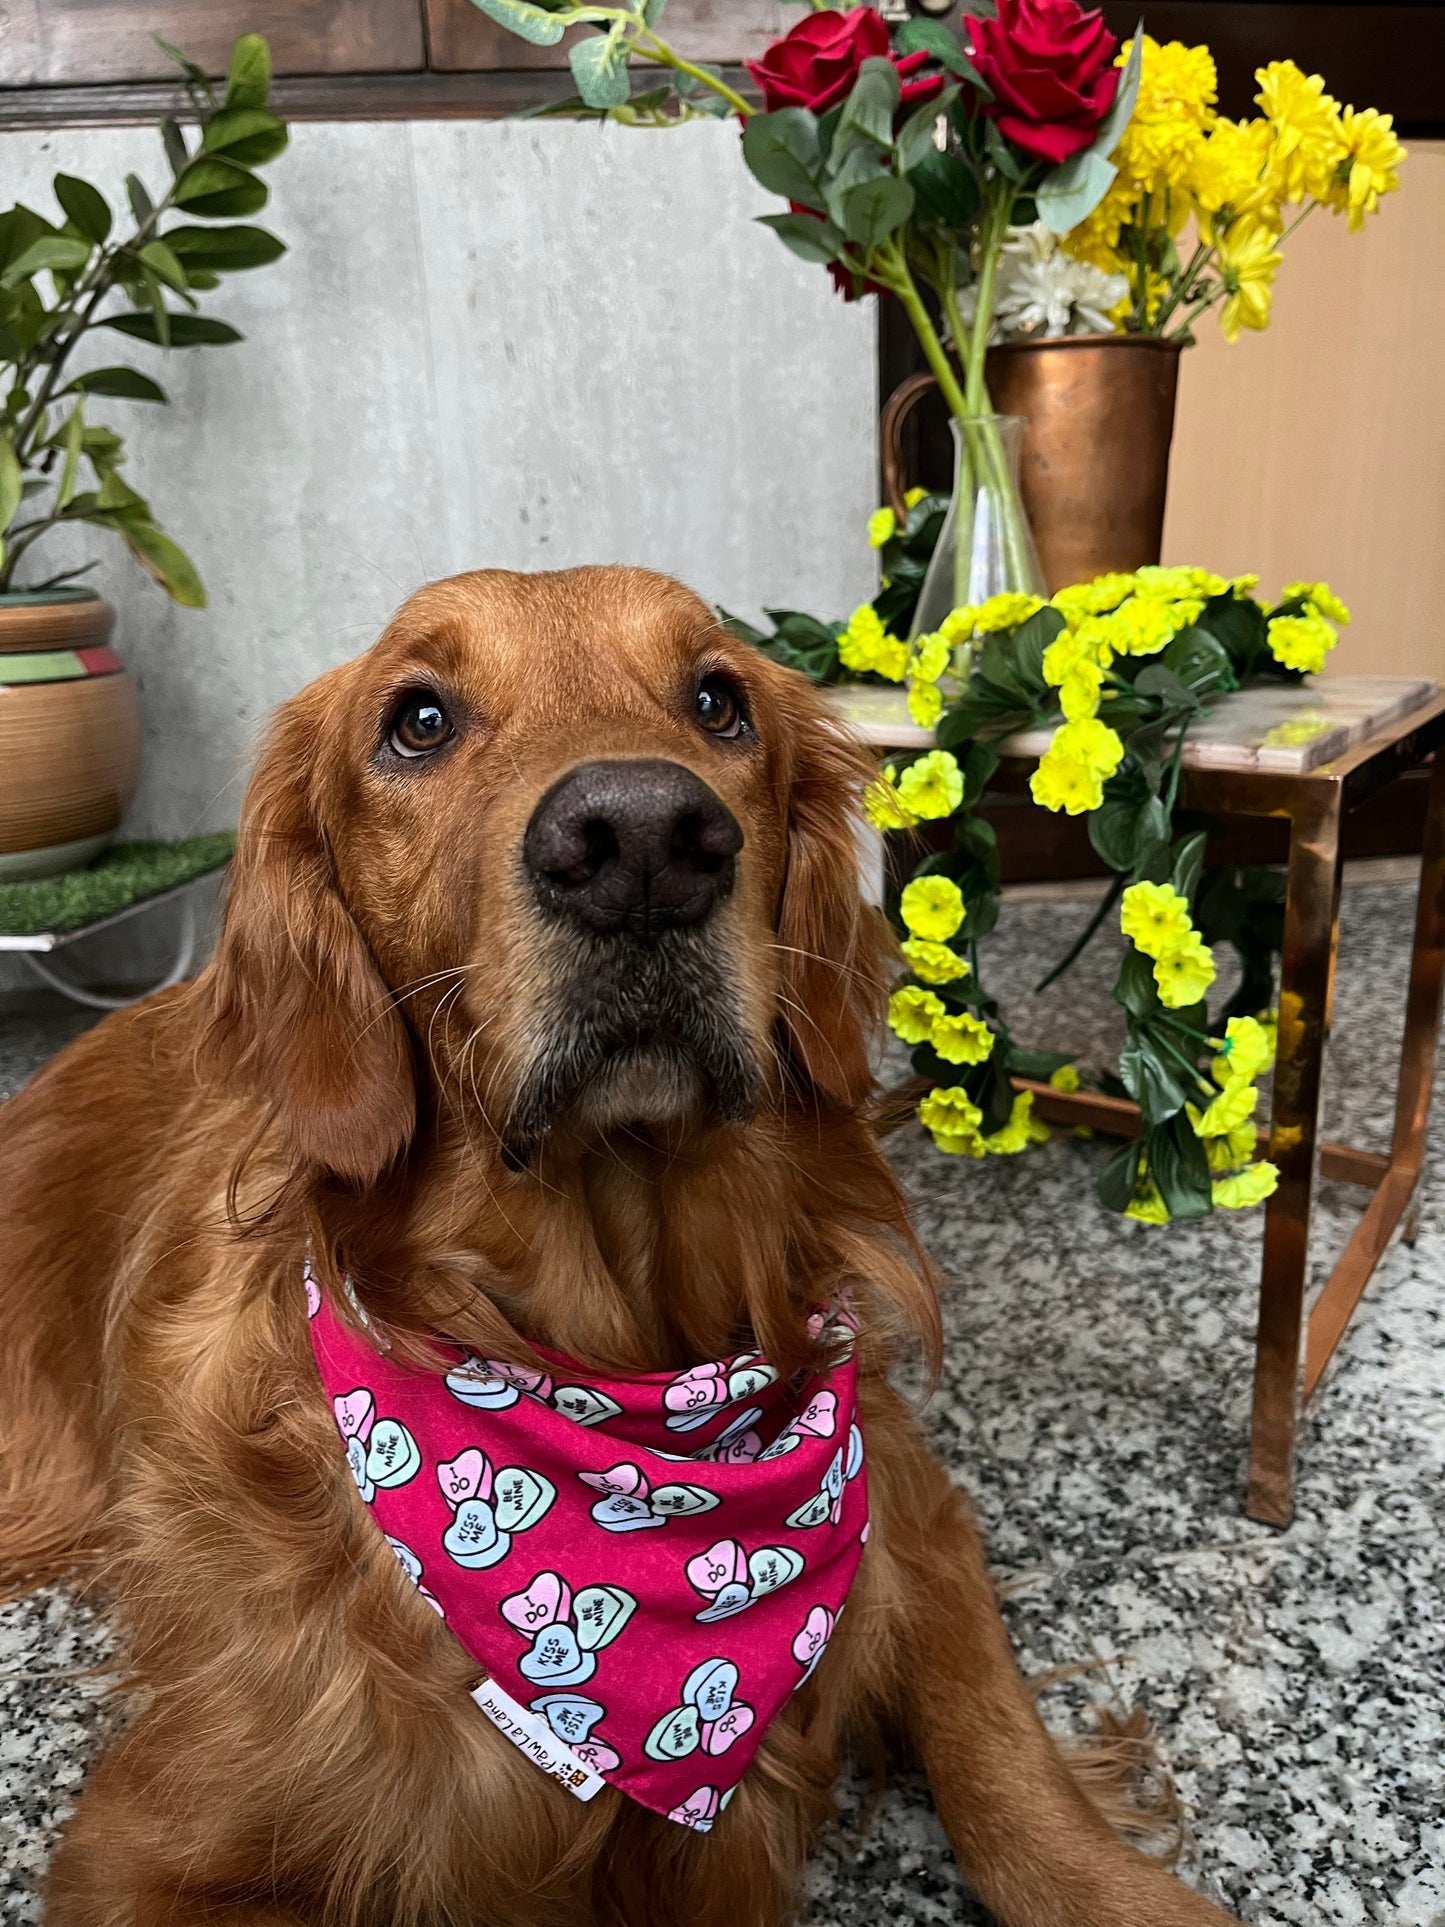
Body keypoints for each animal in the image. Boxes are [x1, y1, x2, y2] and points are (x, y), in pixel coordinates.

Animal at [2, 566, 1233, 1927]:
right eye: (416, 721)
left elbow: (997, 1746)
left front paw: (1117, 1888)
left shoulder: (906, 1491)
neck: (613, 1378)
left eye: (716, 699)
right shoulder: (147, 1849)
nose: (641, 841)